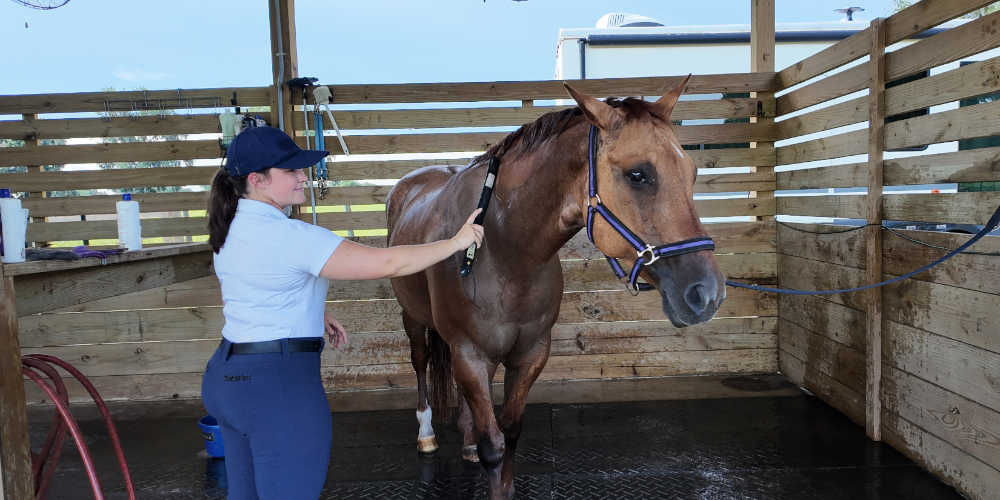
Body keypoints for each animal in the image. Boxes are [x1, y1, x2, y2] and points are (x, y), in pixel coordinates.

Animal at [385, 76, 725, 499]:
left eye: (692, 173)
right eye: (637, 174)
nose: (707, 293)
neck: (506, 250)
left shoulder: (530, 353)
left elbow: (509, 434)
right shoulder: (470, 353)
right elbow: (494, 446)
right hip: (413, 321)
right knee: (420, 364)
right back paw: (427, 435)